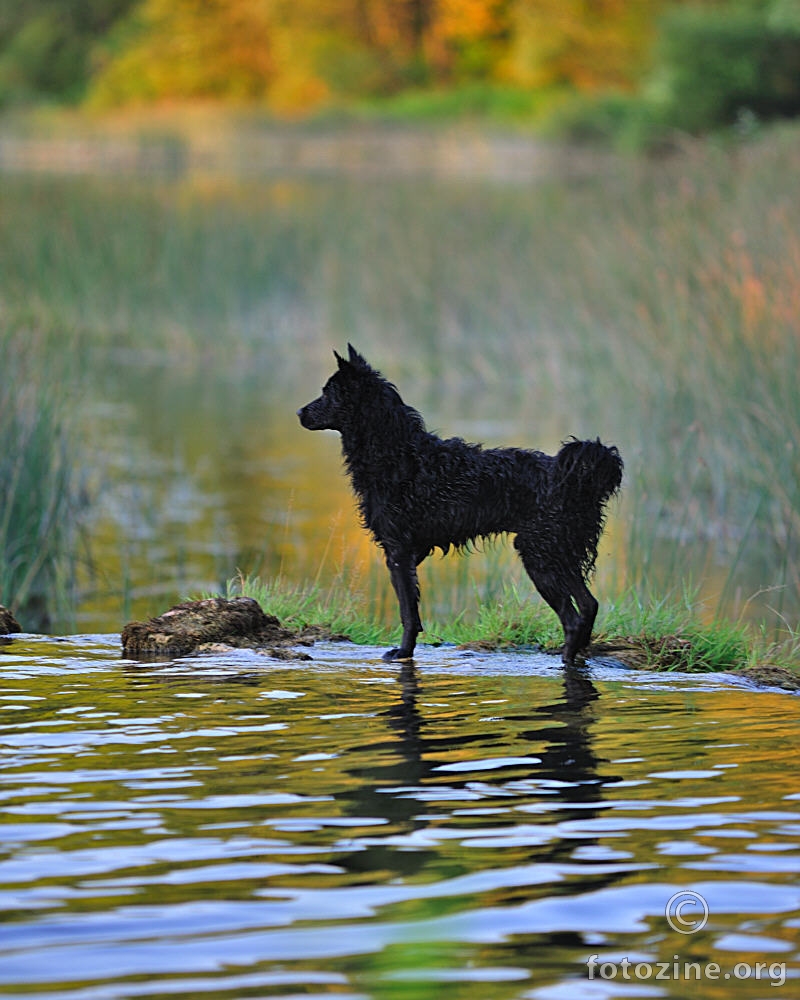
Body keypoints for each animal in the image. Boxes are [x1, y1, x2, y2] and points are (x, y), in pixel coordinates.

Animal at [300, 344, 624, 664]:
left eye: (327, 393)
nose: (299, 412)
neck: (396, 453)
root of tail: (574, 479)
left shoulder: (398, 550)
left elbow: (407, 611)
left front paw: (403, 652)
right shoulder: (413, 550)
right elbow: (412, 606)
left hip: (540, 555)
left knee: (573, 616)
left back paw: (567, 657)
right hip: (558, 553)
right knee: (589, 605)